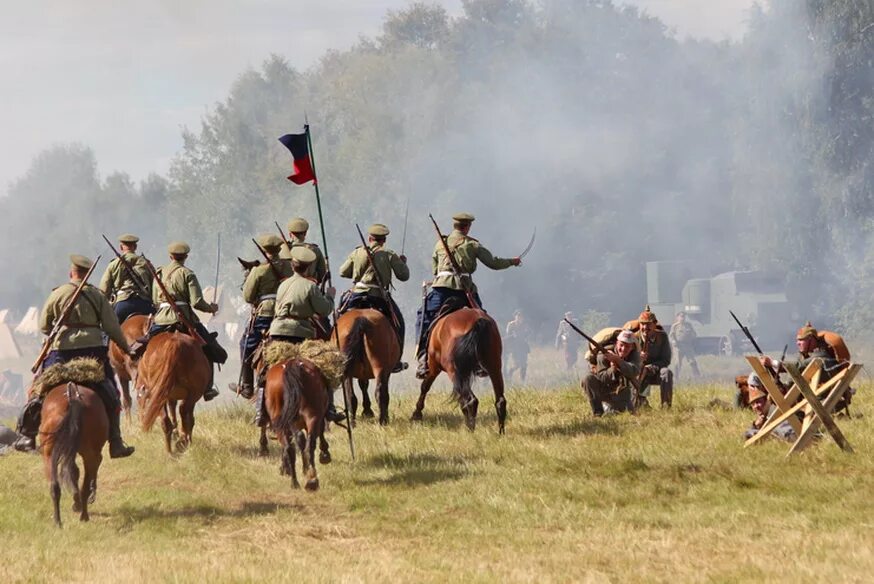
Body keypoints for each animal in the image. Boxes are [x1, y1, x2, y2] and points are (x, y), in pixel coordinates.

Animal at [40, 380, 108, 528]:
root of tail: (73, 398)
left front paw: (76, 503)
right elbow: (75, 472)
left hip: (49, 454)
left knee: (55, 486)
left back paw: (58, 521)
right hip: (89, 454)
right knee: (84, 482)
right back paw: (84, 514)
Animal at [262, 358, 330, 490]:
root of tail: (291, 365)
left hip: (283, 422)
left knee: (291, 447)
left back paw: (296, 482)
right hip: (310, 417)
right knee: (307, 444)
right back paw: (311, 479)